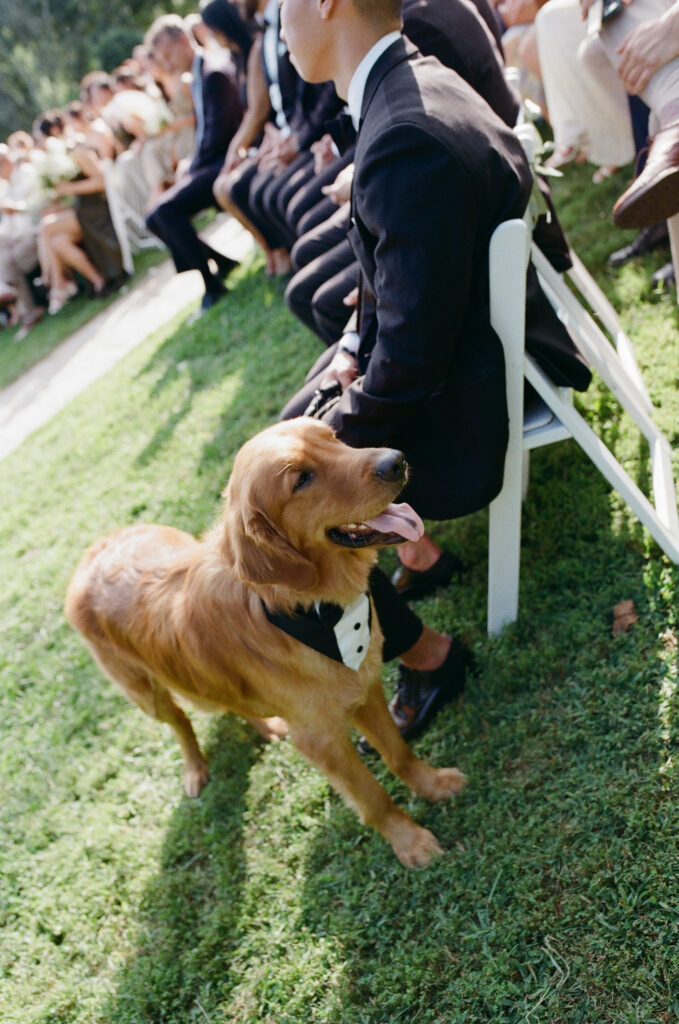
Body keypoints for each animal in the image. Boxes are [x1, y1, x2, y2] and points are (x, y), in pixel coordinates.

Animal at [65, 418, 466, 867]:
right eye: (302, 479)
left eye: (332, 437)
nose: (396, 461)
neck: (304, 610)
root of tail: (94, 551)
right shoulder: (320, 740)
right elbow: (372, 796)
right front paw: (409, 842)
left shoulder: (364, 686)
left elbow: (398, 753)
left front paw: (433, 785)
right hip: (145, 693)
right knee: (182, 720)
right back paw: (195, 768)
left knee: (233, 700)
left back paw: (267, 727)